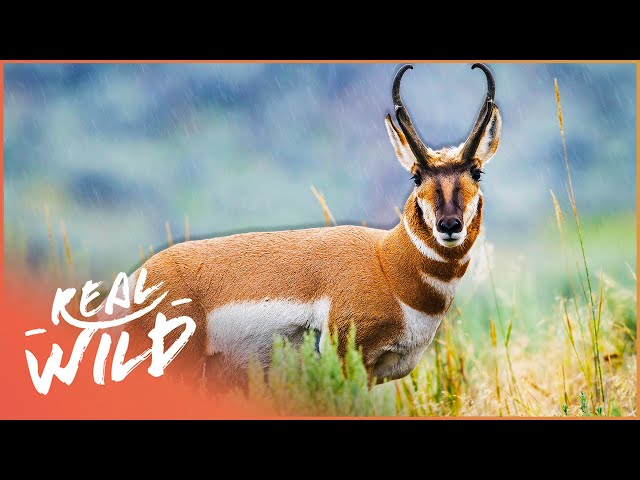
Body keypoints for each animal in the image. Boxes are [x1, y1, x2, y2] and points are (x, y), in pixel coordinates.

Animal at [117, 63, 502, 389]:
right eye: (416, 175)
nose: (449, 225)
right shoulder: (348, 361)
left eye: (476, 172)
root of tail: (135, 281)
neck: (386, 263)